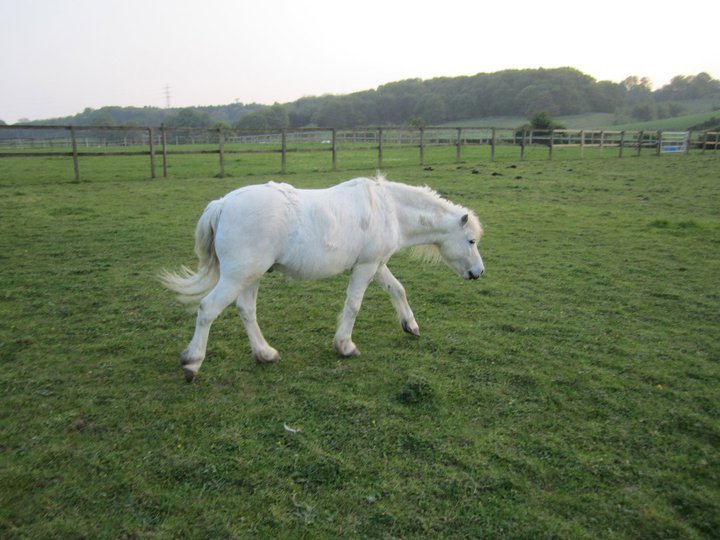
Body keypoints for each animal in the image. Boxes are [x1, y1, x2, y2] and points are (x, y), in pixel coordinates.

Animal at [161, 175, 484, 382]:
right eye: (471, 241)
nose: (478, 273)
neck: (390, 208)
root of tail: (223, 204)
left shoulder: (376, 264)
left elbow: (398, 290)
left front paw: (411, 326)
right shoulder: (366, 267)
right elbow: (354, 305)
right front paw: (345, 346)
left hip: (249, 276)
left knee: (246, 311)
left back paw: (265, 354)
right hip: (238, 276)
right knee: (208, 309)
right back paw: (192, 363)